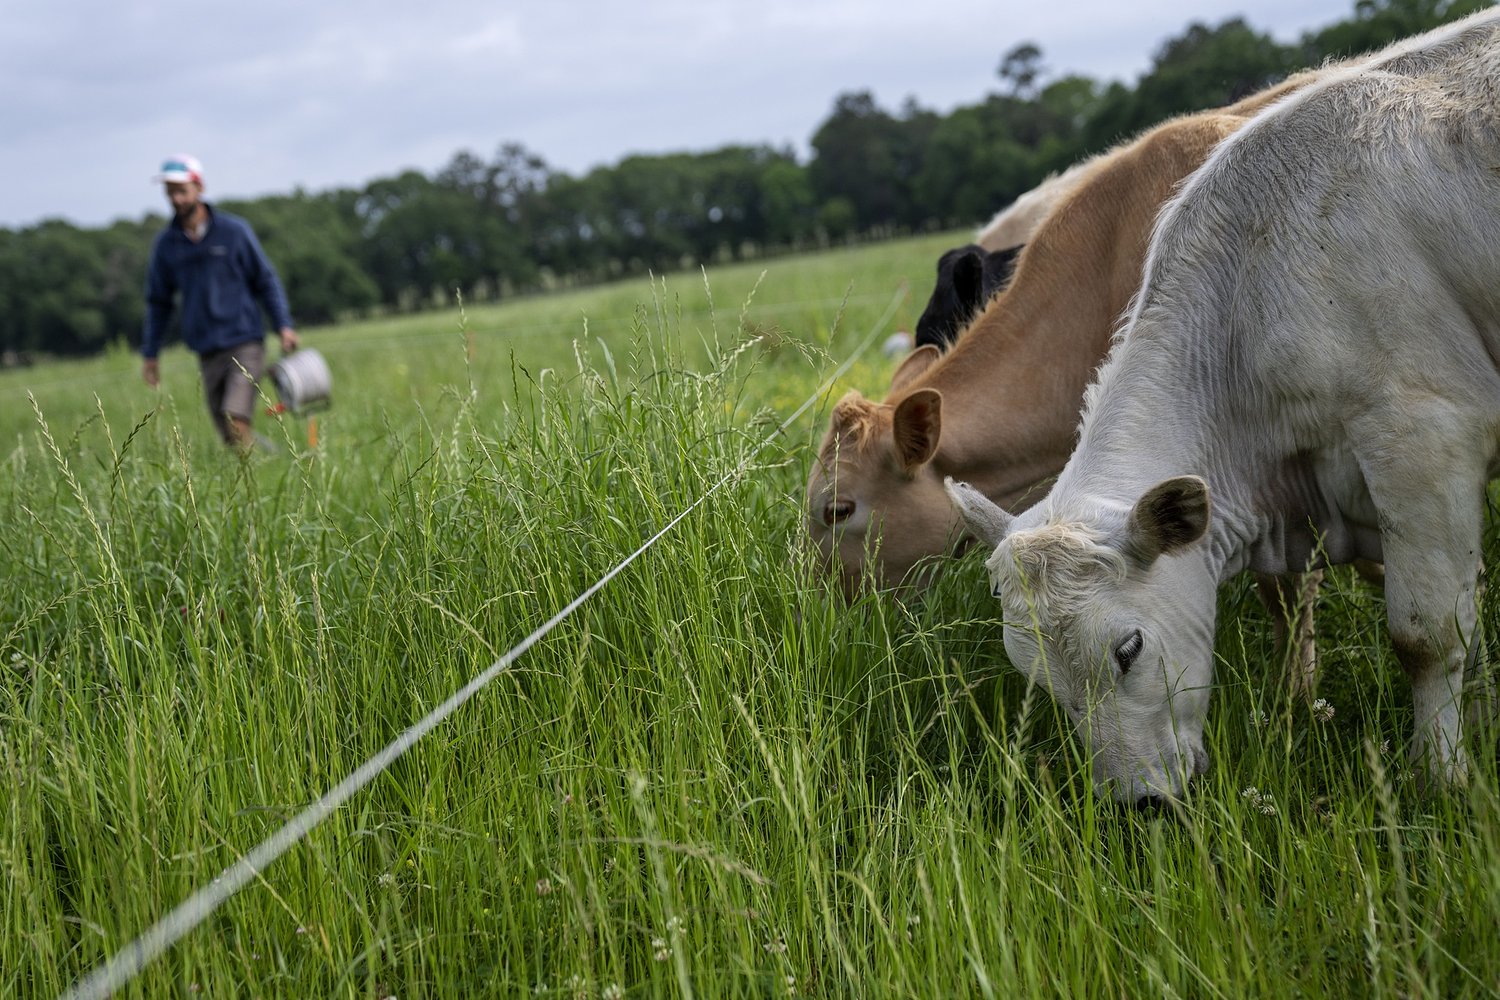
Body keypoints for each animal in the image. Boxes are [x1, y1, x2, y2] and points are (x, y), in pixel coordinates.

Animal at [946, 8, 1500, 804]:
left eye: (1128, 647)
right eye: (1038, 680)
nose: (1139, 805)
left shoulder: (1424, 441)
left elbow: (1427, 636)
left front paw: (1444, 781)